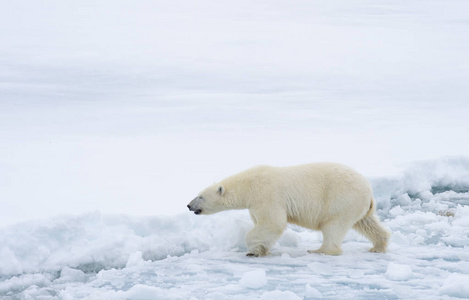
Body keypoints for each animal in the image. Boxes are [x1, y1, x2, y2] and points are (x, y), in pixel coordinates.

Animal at [186, 163, 388, 256]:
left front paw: (252, 250)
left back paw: (320, 250)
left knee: (334, 225)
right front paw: (262, 250)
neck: (249, 185)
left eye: (201, 196)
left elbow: (272, 222)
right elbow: (263, 224)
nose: (188, 205)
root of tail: (369, 189)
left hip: (341, 199)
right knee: (367, 223)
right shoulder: (255, 204)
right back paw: (378, 246)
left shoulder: (267, 195)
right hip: (358, 204)